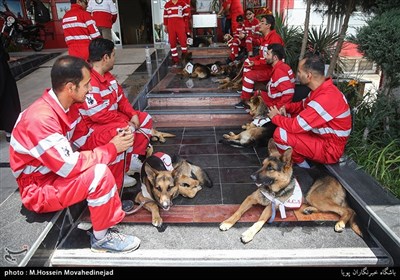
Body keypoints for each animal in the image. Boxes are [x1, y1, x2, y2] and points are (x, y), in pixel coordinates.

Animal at [219, 139, 362, 244]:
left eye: (270, 168)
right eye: (262, 165)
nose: (251, 177)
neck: (273, 189)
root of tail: (339, 182)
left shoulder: (270, 208)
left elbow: (259, 222)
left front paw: (249, 233)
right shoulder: (250, 198)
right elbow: (238, 212)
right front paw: (228, 222)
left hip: (316, 196)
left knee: (348, 210)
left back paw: (340, 223)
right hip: (312, 198)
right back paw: (309, 209)